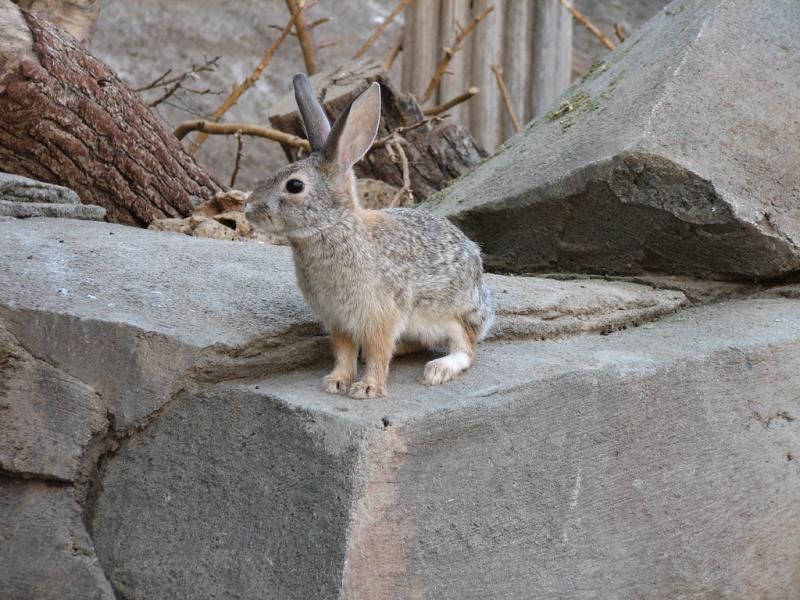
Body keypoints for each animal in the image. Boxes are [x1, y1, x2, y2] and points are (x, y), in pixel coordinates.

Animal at [245, 74, 494, 398]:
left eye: (294, 186)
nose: (248, 208)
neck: (332, 226)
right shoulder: (338, 321)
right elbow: (344, 353)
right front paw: (336, 382)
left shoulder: (379, 318)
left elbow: (378, 352)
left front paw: (367, 388)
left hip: (452, 314)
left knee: (467, 348)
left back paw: (438, 370)